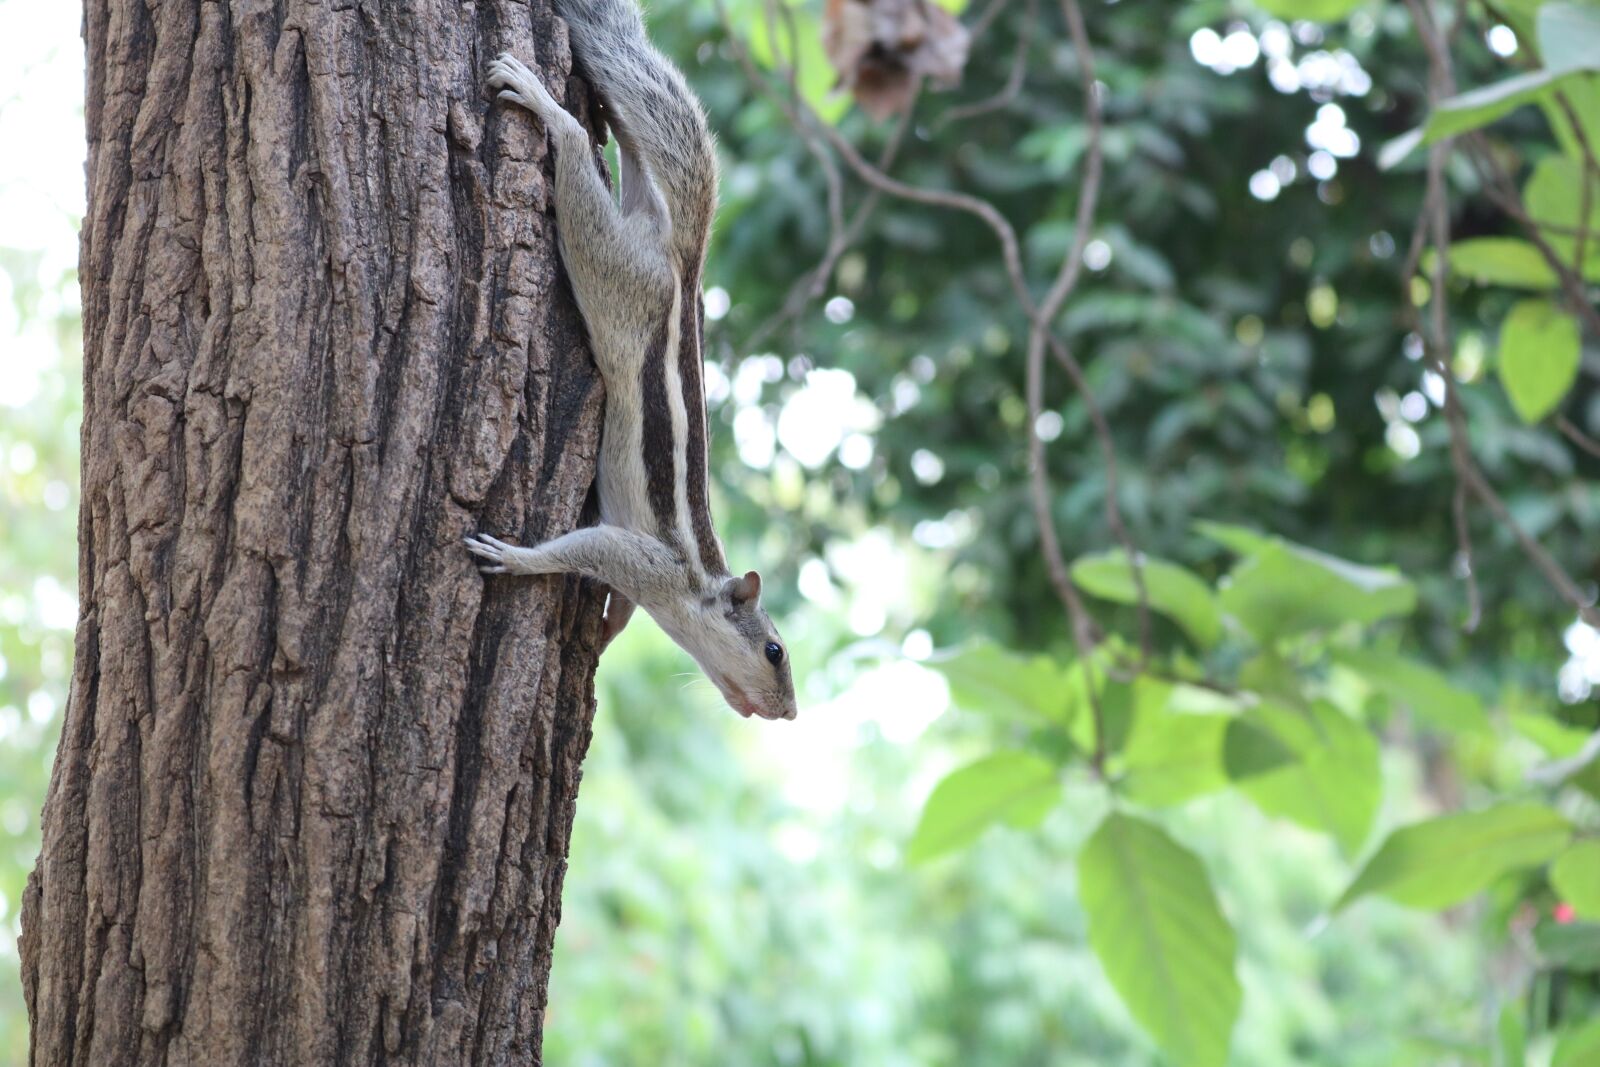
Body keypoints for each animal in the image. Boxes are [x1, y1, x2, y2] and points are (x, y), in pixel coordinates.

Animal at [466, 0, 798, 722]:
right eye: (774, 651)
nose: (789, 713)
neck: (695, 589)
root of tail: (680, 259)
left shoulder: (641, 580)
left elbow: (619, 609)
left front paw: (603, 632)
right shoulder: (643, 558)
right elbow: (583, 548)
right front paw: (521, 559)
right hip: (614, 276)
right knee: (579, 176)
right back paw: (548, 109)